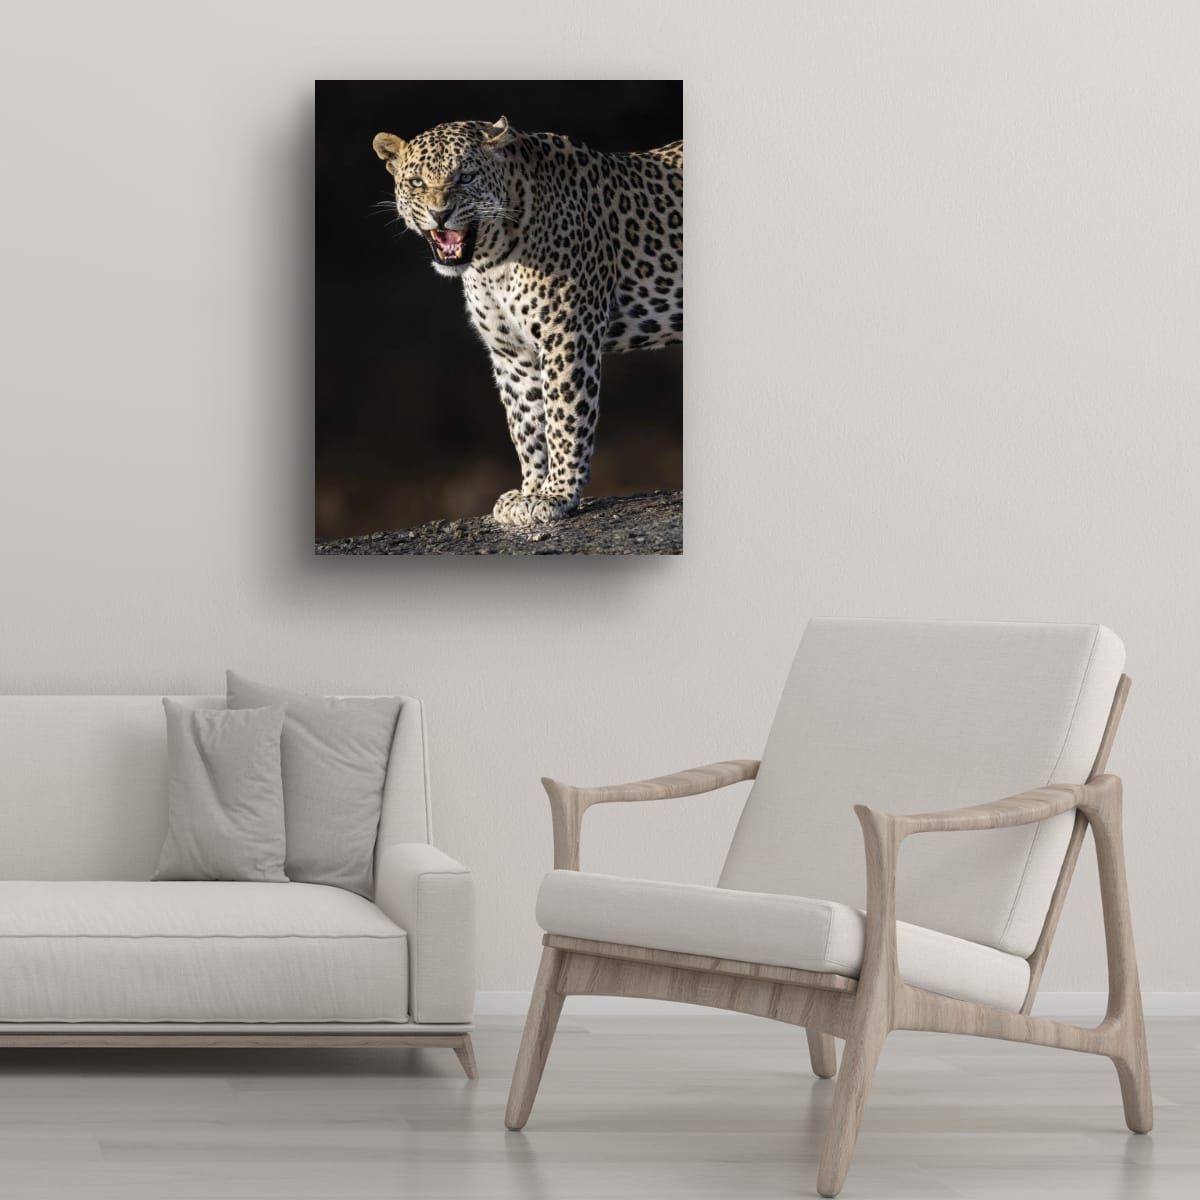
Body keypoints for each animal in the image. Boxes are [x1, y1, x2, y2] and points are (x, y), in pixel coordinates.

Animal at [373, 116, 683, 527]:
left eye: (466, 177)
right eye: (417, 182)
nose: (440, 213)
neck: (491, 261)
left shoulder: (568, 336)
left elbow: (564, 418)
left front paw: (557, 494)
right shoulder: (512, 354)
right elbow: (526, 423)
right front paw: (531, 490)